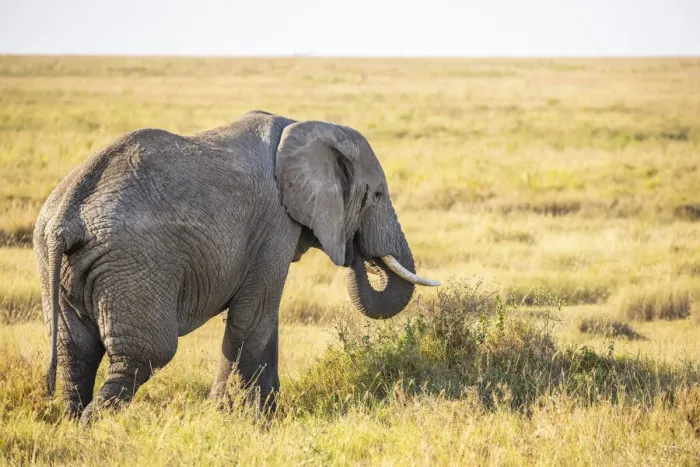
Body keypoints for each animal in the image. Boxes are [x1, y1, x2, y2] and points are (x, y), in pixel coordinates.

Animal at [33, 109, 439, 424]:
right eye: (377, 195)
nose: (354, 251)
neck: (302, 126)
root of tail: (67, 214)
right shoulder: (274, 222)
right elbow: (254, 316)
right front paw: (238, 419)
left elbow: (262, 319)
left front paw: (261, 418)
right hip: (134, 263)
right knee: (145, 352)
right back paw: (95, 425)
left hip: (65, 264)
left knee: (75, 350)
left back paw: (72, 424)